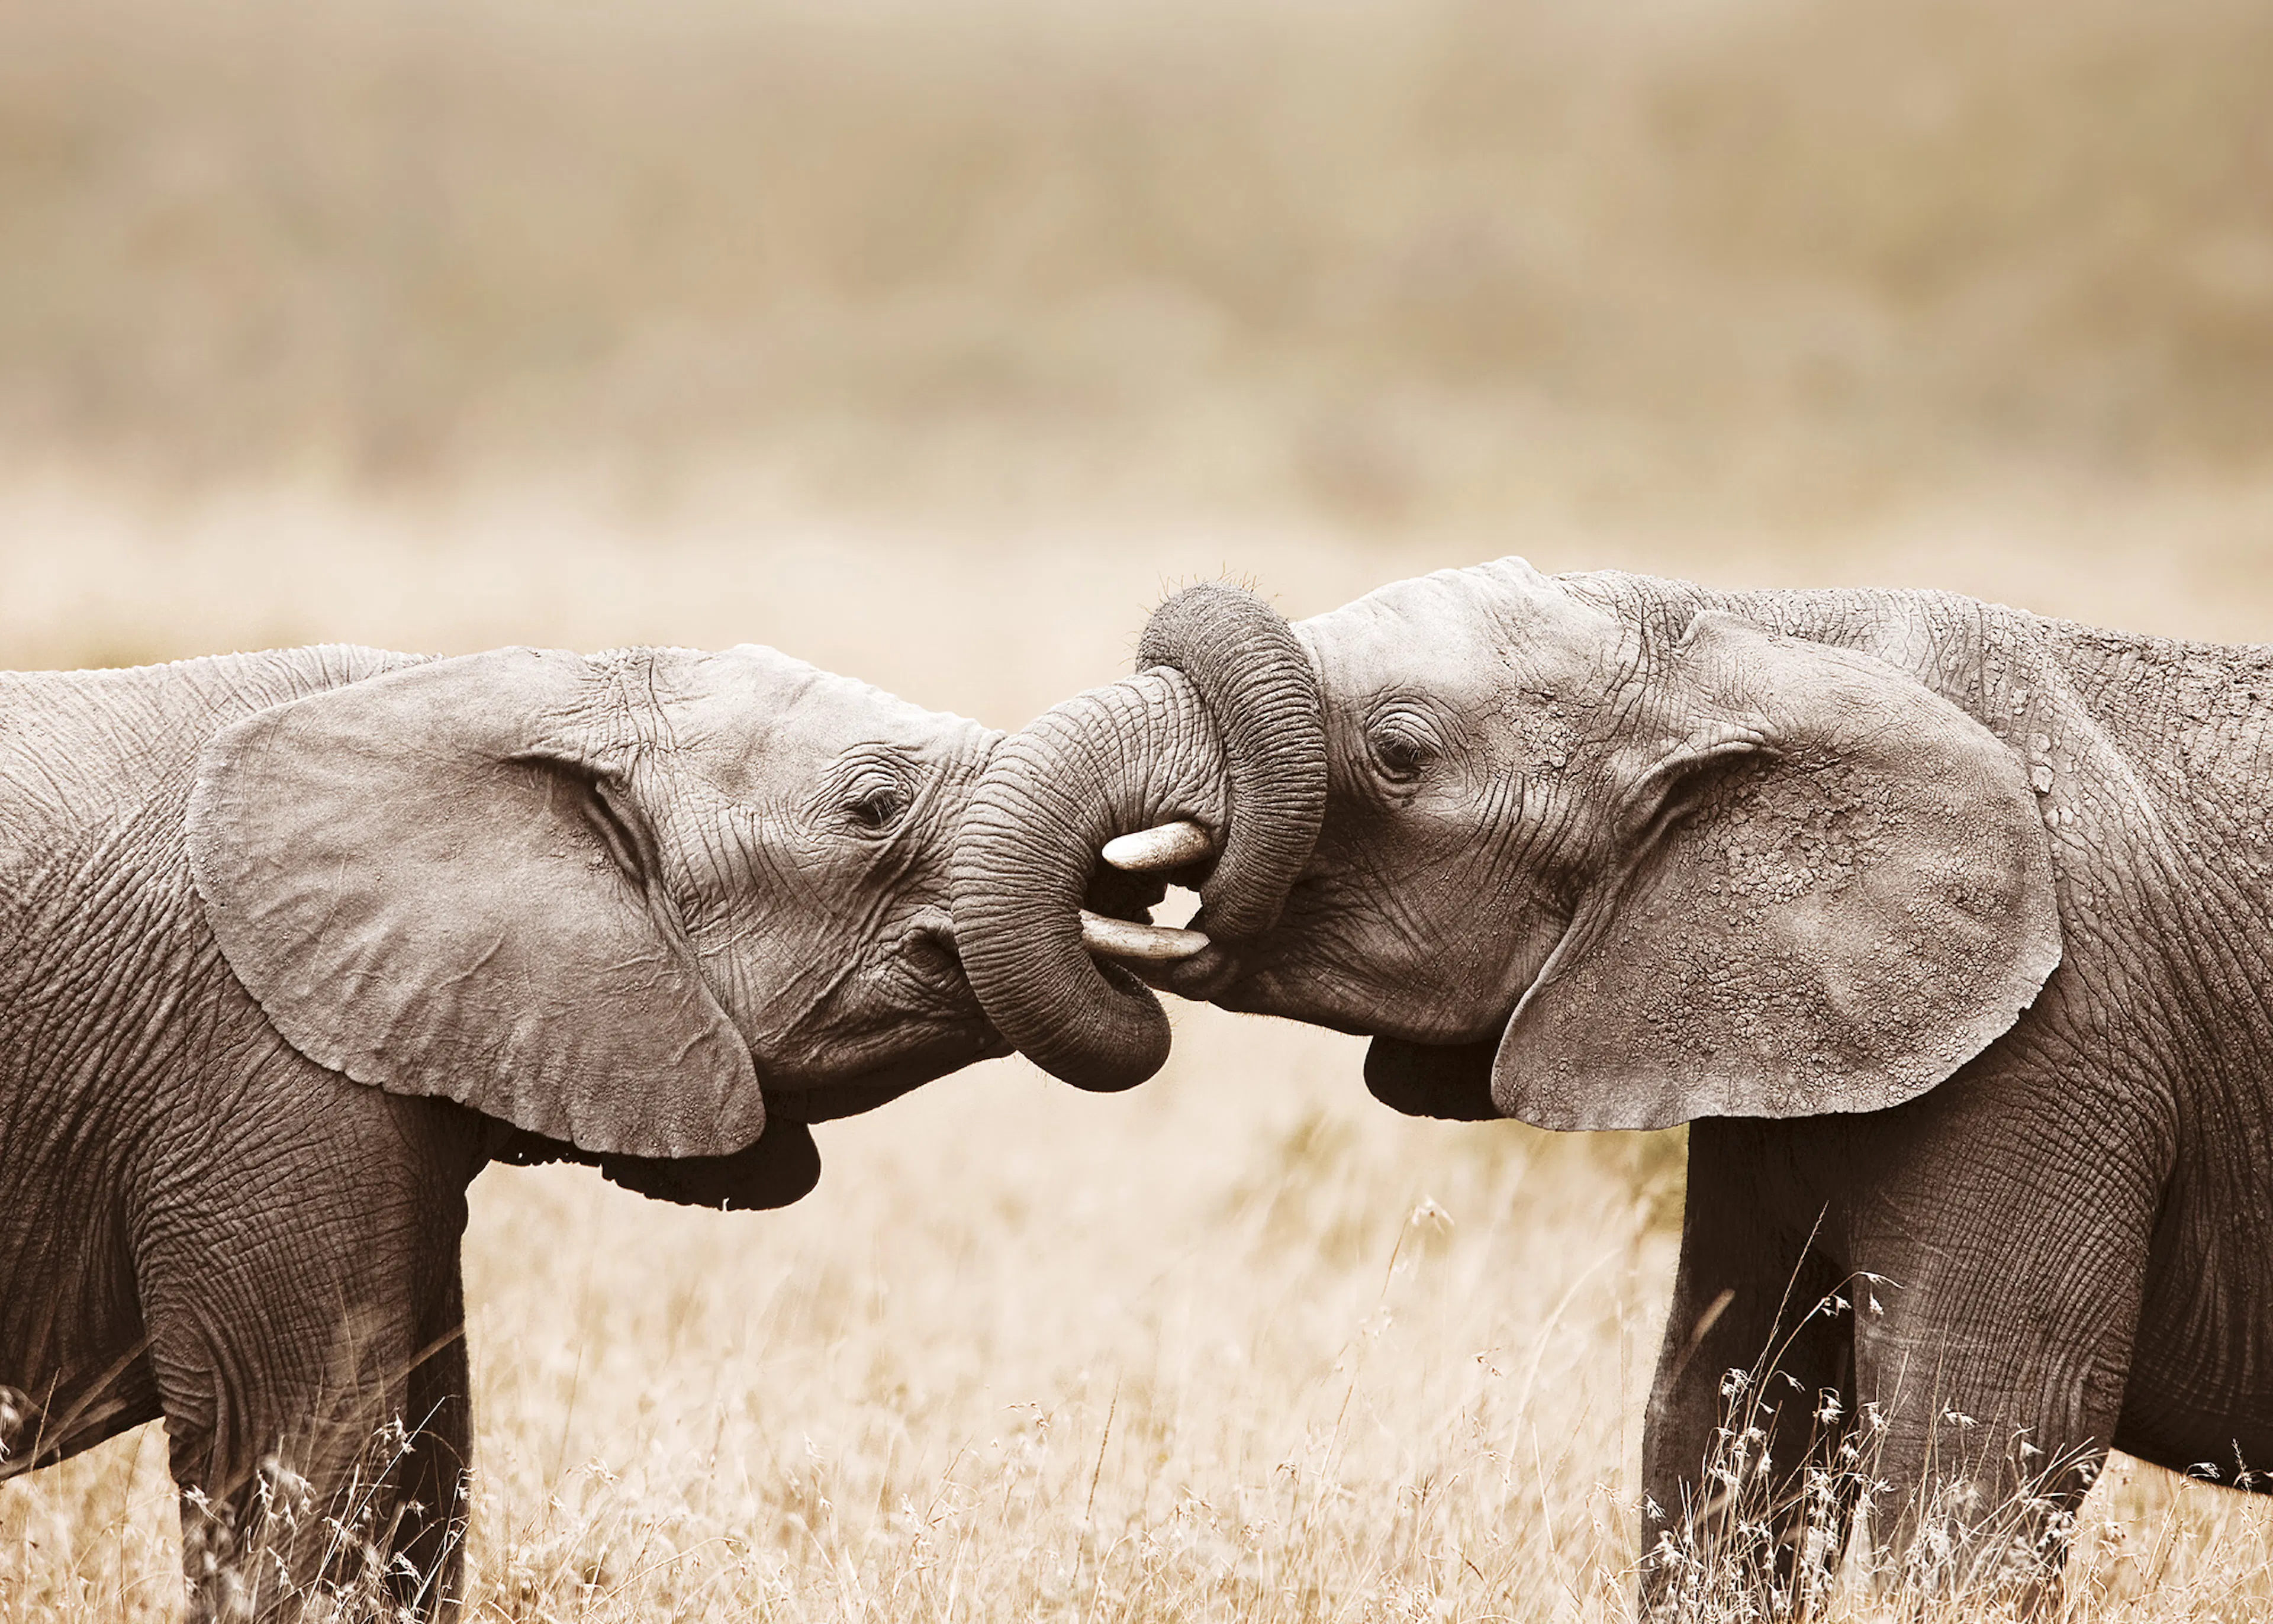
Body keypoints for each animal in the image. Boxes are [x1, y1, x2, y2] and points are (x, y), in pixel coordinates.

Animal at [951, 562, 2273, 1611]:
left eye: (1400, 754)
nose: (1130, 892)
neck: (1757, 633)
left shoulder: (2059, 1047)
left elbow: (1983, 1447)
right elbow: (1727, 1419)